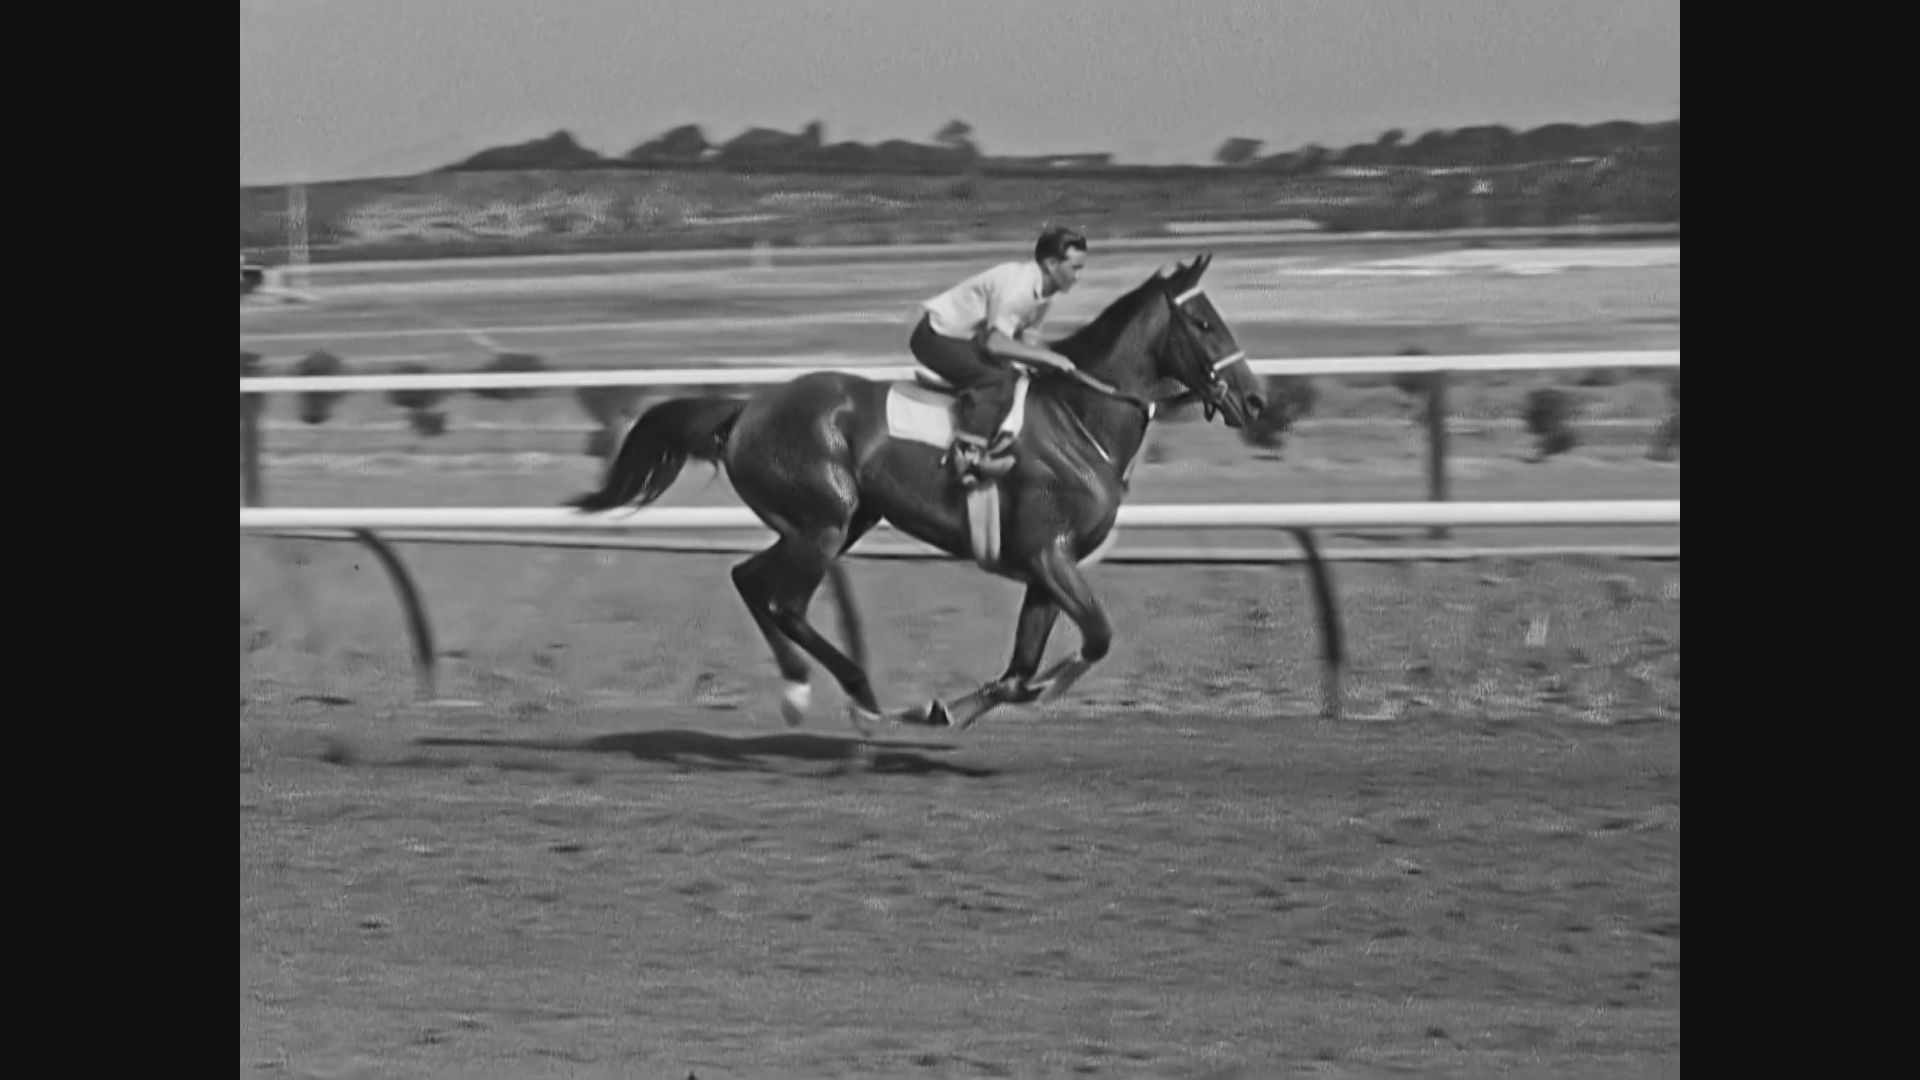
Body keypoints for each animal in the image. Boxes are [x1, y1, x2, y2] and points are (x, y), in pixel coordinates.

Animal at [560, 249, 1267, 730]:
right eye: (1204, 323)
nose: (1256, 400)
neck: (1079, 418)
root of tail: (746, 410)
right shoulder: (1048, 554)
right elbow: (1094, 639)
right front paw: (966, 704)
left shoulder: (1047, 567)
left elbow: (1023, 668)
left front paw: (954, 708)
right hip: (823, 520)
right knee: (782, 600)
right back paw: (856, 692)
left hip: (836, 522)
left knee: (748, 579)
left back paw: (801, 688)